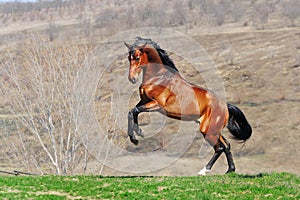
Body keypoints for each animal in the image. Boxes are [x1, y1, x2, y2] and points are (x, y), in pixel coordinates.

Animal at [123, 37, 251, 175]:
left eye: (137, 57)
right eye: (128, 58)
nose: (132, 79)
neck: (158, 78)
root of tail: (225, 106)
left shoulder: (157, 105)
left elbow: (135, 111)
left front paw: (136, 137)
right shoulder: (144, 101)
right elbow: (132, 112)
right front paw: (137, 135)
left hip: (208, 130)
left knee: (220, 147)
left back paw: (204, 171)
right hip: (214, 130)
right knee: (226, 145)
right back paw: (230, 170)